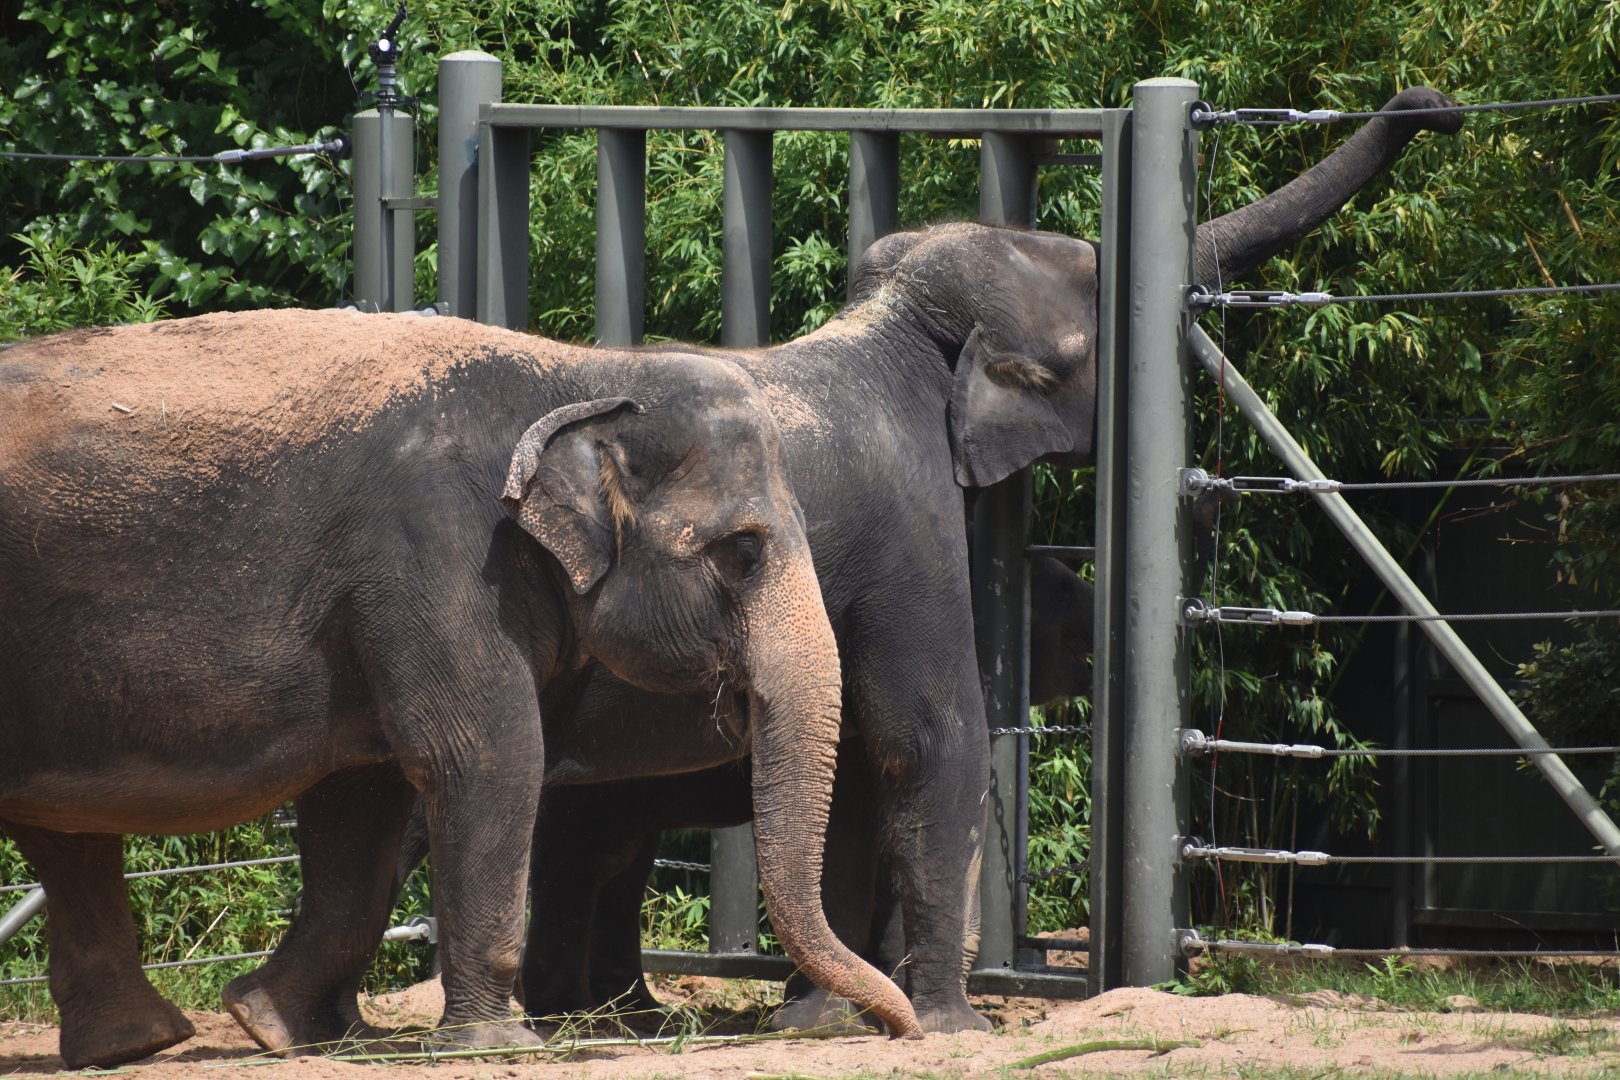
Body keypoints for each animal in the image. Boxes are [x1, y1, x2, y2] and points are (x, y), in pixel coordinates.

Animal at [0, 307, 920, 1069]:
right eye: (741, 551)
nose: (899, 1028)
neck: (580, 373)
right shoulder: (437, 555)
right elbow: (486, 758)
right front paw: (492, 1044)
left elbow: (360, 801)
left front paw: (272, 1024)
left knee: (63, 831)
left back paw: (133, 1045)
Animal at [327, 84, 1462, 1036]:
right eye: (1098, 312)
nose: (1435, 104)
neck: (902, 327)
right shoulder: (909, 514)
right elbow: (930, 726)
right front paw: (943, 1027)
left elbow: (865, 764)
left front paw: (823, 1017)